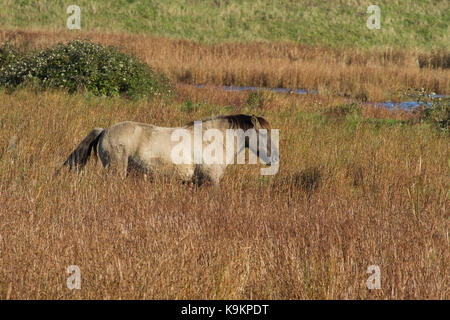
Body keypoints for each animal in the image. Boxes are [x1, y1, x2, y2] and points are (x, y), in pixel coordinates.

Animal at [59, 114, 278, 185]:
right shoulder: (212, 181)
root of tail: (104, 130)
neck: (211, 142)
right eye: (264, 134)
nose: (274, 158)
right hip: (116, 171)